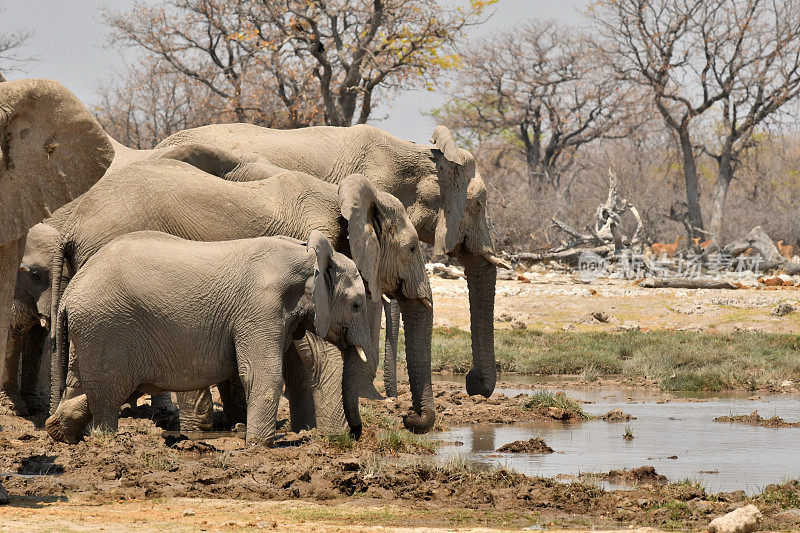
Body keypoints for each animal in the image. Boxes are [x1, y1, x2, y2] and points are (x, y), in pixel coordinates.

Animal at [0, 79, 114, 414]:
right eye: (36, 274)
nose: (54, 414)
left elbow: (36, 338)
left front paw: (31, 406)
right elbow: (15, 331)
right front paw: (14, 408)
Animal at [48, 231, 374, 442]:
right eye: (357, 305)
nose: (356, 435)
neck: (305, 254)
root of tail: (69, 293)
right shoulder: (260, 308)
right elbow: (262, 374)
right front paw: (259, 446)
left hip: (91, 333)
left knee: (84, 388)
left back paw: (61, 433)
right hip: (104, 328)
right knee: (107, 396)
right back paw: (105, 443)